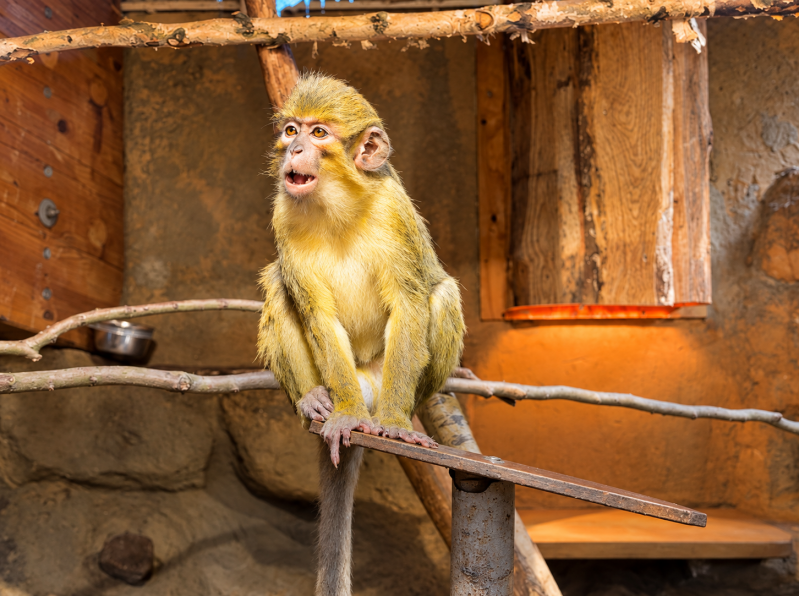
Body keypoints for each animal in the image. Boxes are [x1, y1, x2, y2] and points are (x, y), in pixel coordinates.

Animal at [256, 73, 465, 596]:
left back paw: (391, 411)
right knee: (278, 284)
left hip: (389, 374)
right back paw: (317, 400)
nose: (295, 151)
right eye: (291, 130)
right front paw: (346, 414)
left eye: (320, 134)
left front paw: (393, 422)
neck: (338, 204)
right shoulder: (284, 212)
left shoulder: (393, 209)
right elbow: (315, 313)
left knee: (442, 293)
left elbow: (410, 302)